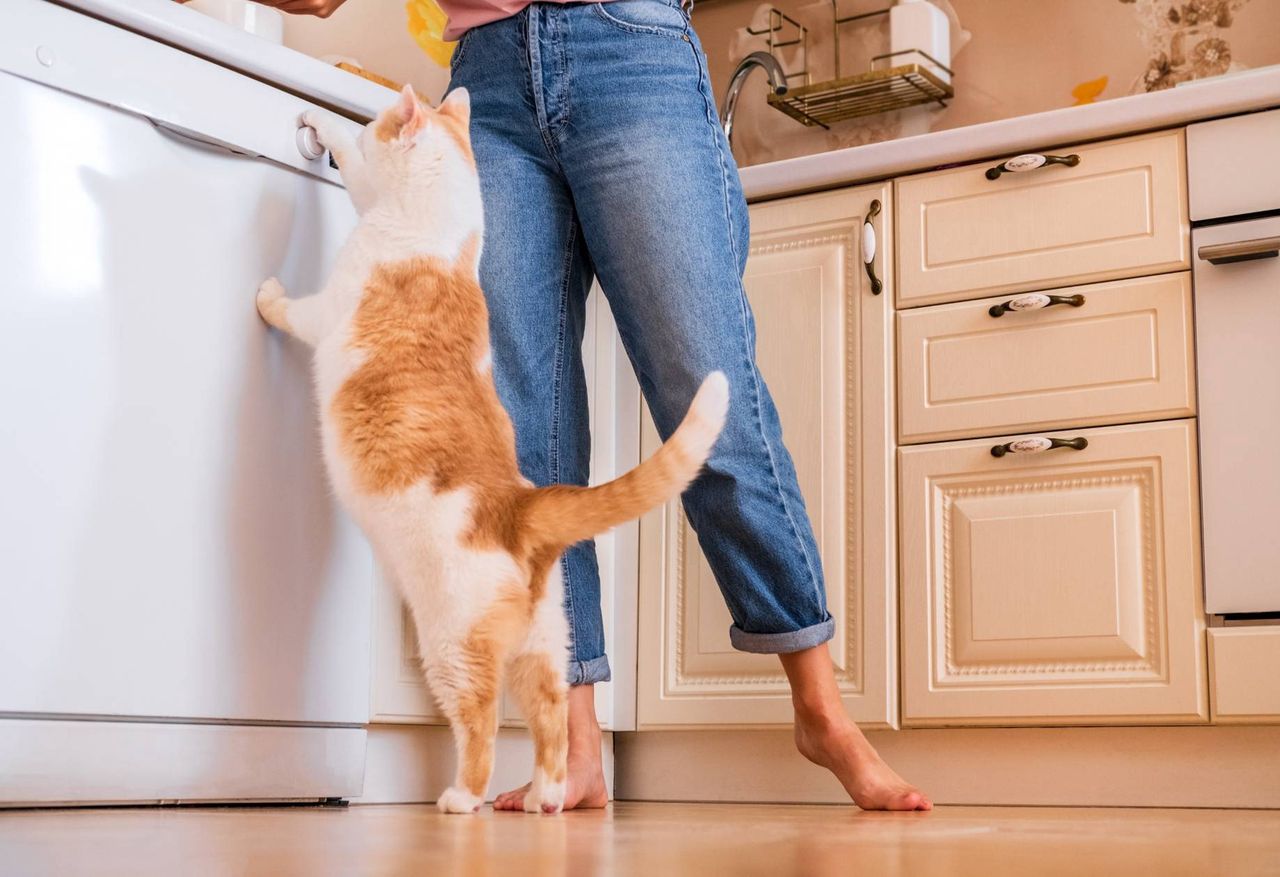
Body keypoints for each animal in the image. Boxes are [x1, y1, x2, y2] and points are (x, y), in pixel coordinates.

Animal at [254, 87, 732, 814]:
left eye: (372, 129)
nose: (359, 124)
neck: (440, 238)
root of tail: (519, 505)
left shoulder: (328, 307)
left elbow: (294, 308)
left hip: (449, 643)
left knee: (478, 720)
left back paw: (461, 798)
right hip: (547, 645)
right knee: (553, 716)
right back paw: (547, 798)